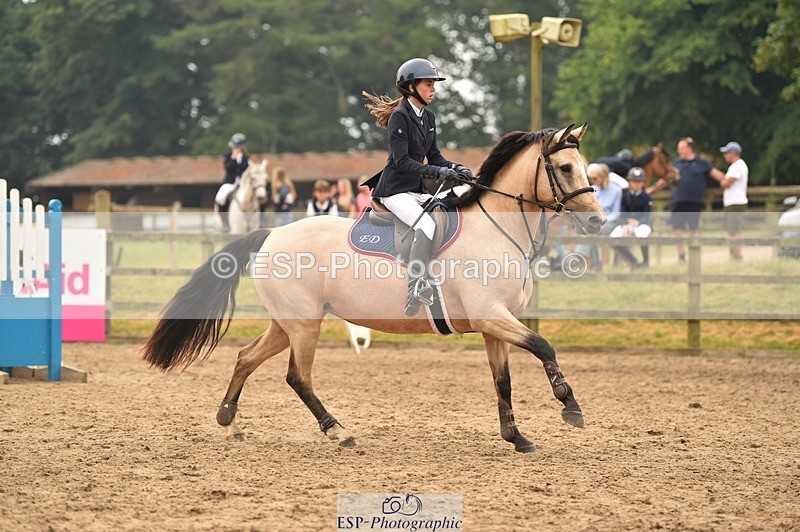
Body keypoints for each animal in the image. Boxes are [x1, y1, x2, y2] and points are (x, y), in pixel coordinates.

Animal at [142, 123, 607, 453]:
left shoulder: (494, 326)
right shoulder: (492, 315)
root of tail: (271, 234)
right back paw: (337, 431)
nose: (598, 221)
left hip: (287, 323)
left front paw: (517, 437)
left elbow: (503, 381)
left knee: (245, 357)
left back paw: (228, 418)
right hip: (304, 326)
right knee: (298, 377)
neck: (496, 229)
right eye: (565, 168)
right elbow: (543, 345)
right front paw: (570, 405)